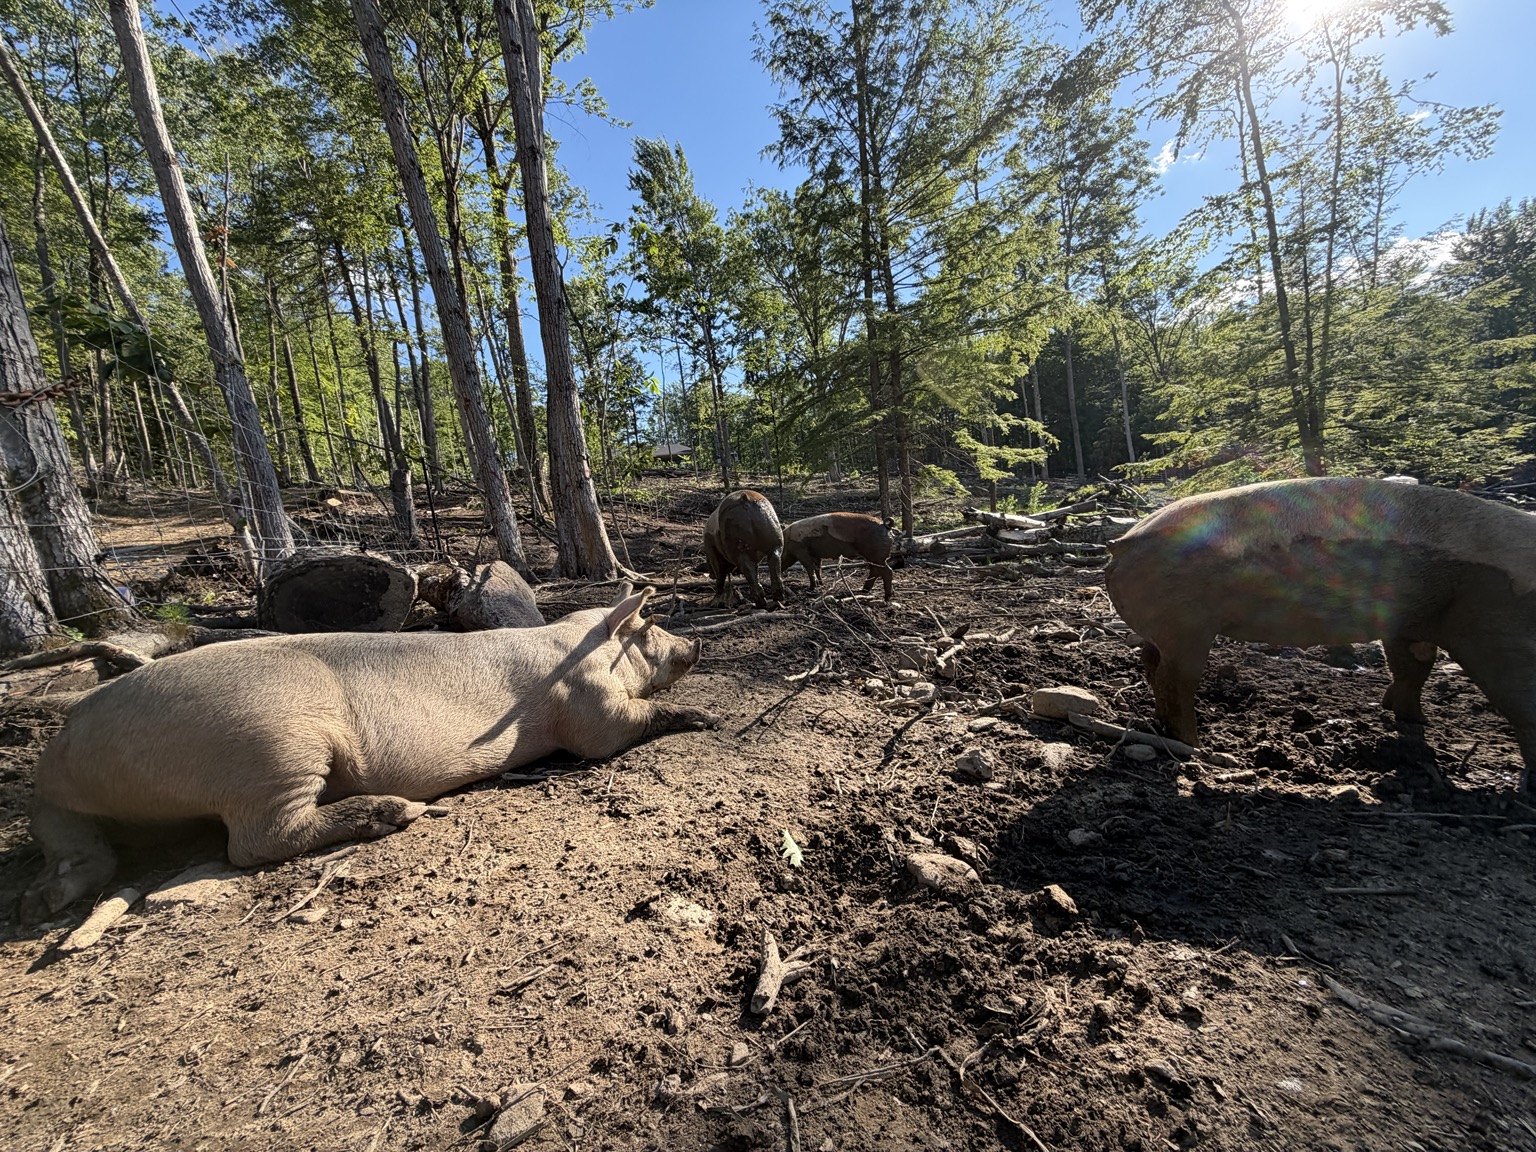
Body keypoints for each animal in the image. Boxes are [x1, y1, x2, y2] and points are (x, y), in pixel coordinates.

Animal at [20, 586, 715, 920]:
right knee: (251, 843)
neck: (578, 644)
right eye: (650, 628)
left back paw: (45, 900)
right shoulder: (587, 707)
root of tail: (63, 749)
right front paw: (708, 717)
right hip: (274, 745)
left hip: (80, 809)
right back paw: (399, 813)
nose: (696, 645)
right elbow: (612, 734)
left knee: (83, 853)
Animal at [1104, 477, 1536, 791]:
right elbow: (1518, 698)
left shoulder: (1408, 623)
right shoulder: (1493, 624)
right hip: (1188, 626)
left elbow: (1412, 666)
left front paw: (1410, 722)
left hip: (1169, 628)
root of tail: (1122, 543)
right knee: (1176, 679)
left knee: (1152, 664)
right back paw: (1196, 745)